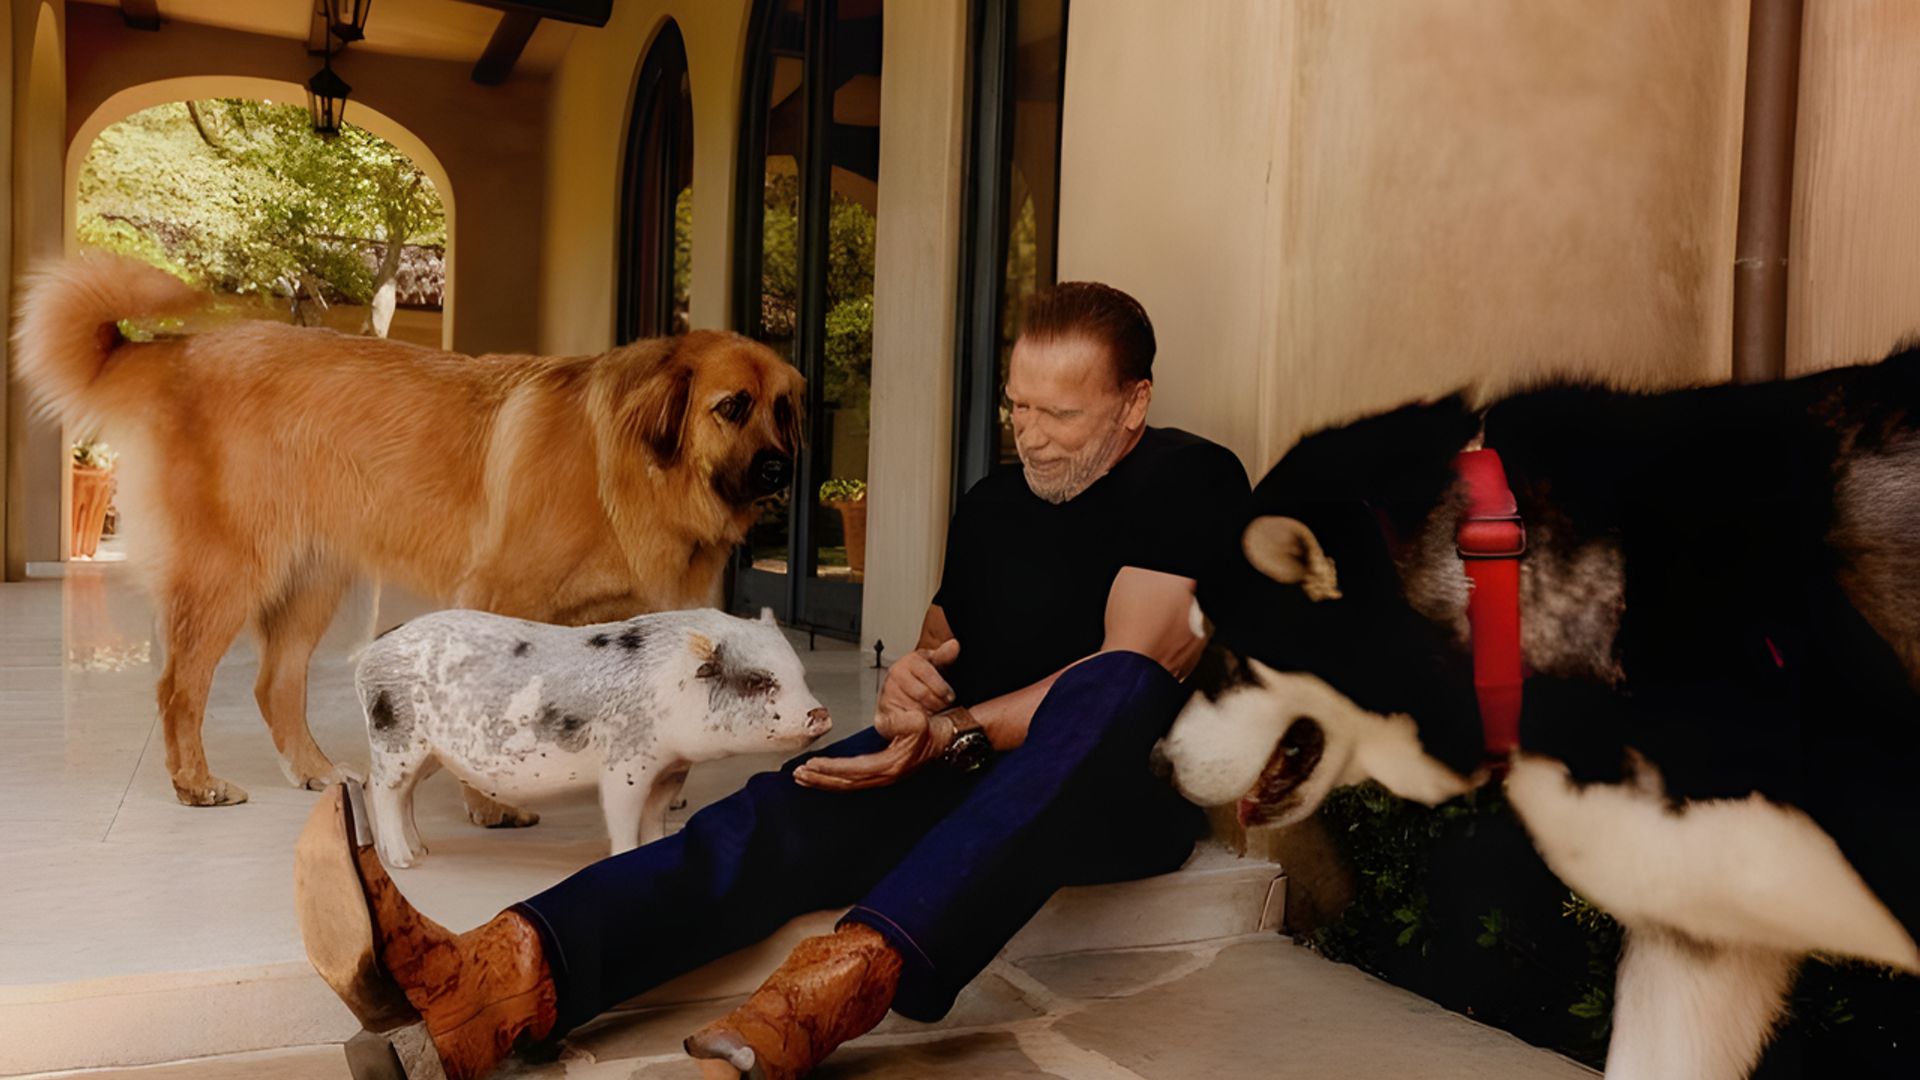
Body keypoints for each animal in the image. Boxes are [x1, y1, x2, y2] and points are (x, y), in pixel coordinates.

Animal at [11, 253, 802, 799]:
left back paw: (314, 771)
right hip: (229, 576)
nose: (781, 471)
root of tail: (184, 350)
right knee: (180, 685)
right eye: (731, 407)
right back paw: (195, 784)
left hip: (312, 583)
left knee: (274, 686)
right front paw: (494, 806)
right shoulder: (501, 597)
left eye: (783, 409)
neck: (632, 468)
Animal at [357, 607, 829, 864]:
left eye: (800, 673)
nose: (821, 713)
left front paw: (657, 850)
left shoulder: (671, 770)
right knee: (379, 790)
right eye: (756, 681)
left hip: (429, 755)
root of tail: (370, 652)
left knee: (404, 796)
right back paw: (403, 862)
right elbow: (622, 815)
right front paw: (623, 858)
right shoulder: (625, 764)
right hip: (394, 738)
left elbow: (655, 816)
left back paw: (421, 851)